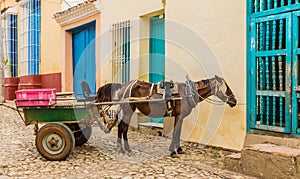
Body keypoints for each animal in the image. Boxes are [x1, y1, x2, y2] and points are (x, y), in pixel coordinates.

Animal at [96, 75, 237, 157]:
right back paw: (123, 149)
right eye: (227, 87)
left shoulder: (179, 116)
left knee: (122, 127)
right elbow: (176, 132)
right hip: (128, 110)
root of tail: (123, 85)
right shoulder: (179, 116)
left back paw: (124, 148)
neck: (188, 93)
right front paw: (173, 152)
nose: (234, 101)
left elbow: (178, 132)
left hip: (129, 110)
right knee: (122, 127)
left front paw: (179, 149)